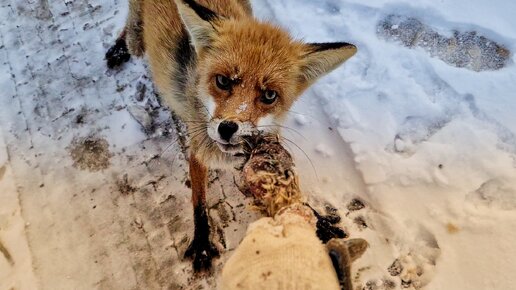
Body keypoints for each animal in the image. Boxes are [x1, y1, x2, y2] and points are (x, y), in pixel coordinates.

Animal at [105, 0, 354, 272]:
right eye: (223, 81)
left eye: (269, 95)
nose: (227, 128)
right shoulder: (198, 149)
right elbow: (199, 201)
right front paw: (202, 243)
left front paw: (321, 222)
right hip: (137, 40)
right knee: (130, 31)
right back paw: (118, 48)